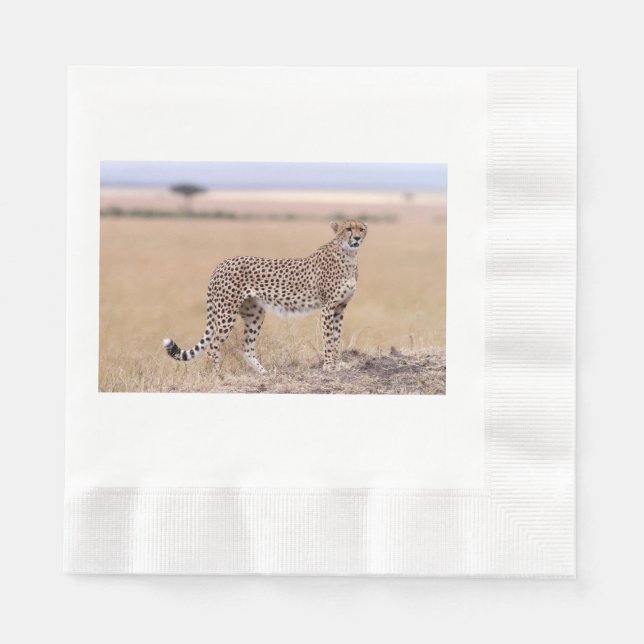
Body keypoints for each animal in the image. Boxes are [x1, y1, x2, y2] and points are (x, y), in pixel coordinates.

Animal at [163, 220, 368, 373]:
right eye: (348, 229)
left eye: (361, 229)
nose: (357, 238)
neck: (349, 256)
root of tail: (222, 263)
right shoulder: (327, 307)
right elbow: (329, 338)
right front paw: (329, 366)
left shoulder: (340, 307)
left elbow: (337, 336)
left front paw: (339, 364)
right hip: (226, 312)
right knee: (213, 345)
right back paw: (215, 375)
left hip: (254, 313)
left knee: (246, 349)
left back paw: (264, 373)